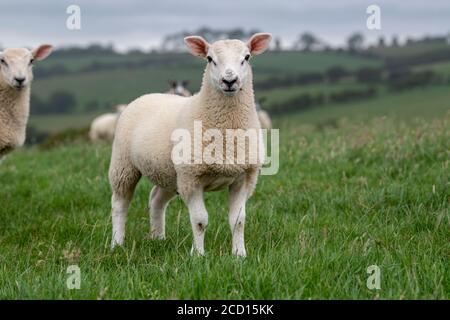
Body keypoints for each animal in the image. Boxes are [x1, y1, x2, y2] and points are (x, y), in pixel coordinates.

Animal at [109, 33, 270, 258]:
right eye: (210, 59)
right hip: (124, 165)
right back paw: (117, 243)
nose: (229, 80)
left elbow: (238, 220)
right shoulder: (192, 178)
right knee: (120, 204)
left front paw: (239, 255)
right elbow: (200, 220)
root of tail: (147, 95)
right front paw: (199, 255)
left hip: (169, 173)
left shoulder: (244, 177)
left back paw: (158, 238)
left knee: (156, 199)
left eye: (247, 57)